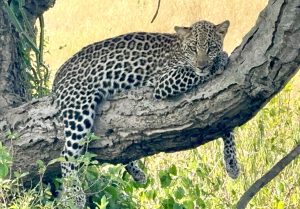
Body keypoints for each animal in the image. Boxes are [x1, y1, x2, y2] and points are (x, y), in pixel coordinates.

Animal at [52, 19, 239, 207]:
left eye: (211, 47)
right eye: (193, 48)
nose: (202, 65)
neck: (180, 50)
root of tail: (58, 75)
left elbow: (227, 126)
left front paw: (232, 164)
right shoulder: (163, 82)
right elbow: (192, 72)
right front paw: (220, 59)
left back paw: (137, 172)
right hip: (79, 108)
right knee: (67, 154)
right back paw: (75, 194)